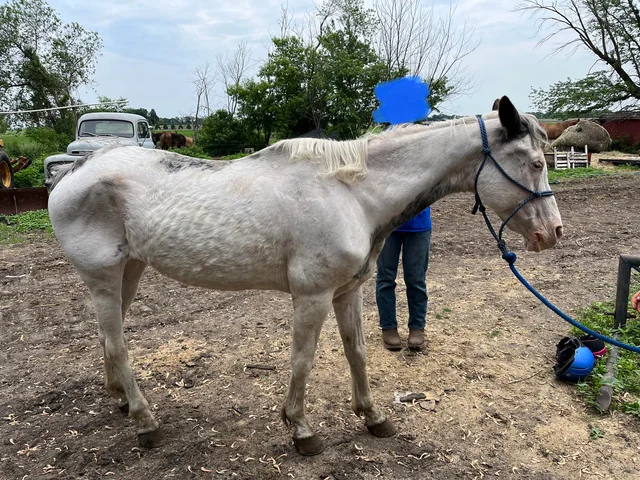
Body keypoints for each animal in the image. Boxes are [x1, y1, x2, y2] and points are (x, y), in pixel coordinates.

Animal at [47, 96, 563, 455]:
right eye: (536, 163)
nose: (553, 233)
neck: (351, 194)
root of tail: (76, 169)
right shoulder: (311, 297)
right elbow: (302, 361)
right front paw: (301, 430)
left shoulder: (348, 292)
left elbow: (358, 354)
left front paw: (373, 417)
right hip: (103, 277)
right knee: (117, 344)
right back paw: (146, 422)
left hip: (130, 271)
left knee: (108, 338)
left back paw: (120, 400)